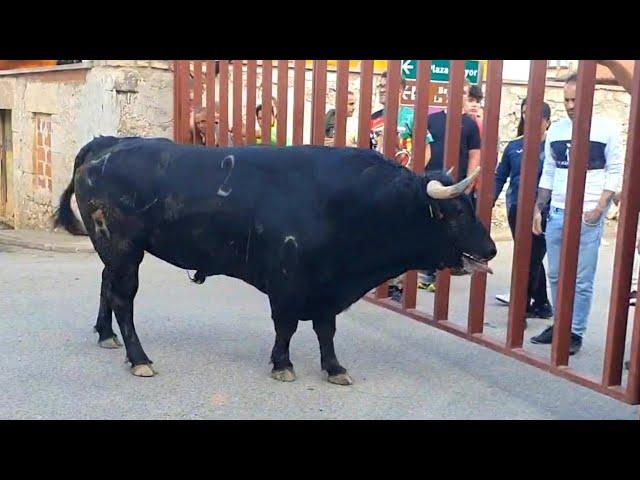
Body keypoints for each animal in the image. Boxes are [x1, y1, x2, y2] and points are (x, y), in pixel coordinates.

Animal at [55, 137, 498, 384]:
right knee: (123, 299)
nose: (491, 250)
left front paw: (334, 368)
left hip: (114, 250)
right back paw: (139, 358)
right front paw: (283, 364)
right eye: (456, 213)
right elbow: (286, 326)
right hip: (124, 247)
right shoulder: (288, 280)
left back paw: (105, 335)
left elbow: (325, 329)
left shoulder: (326, 286)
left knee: (106, 286)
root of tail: (106, 144)